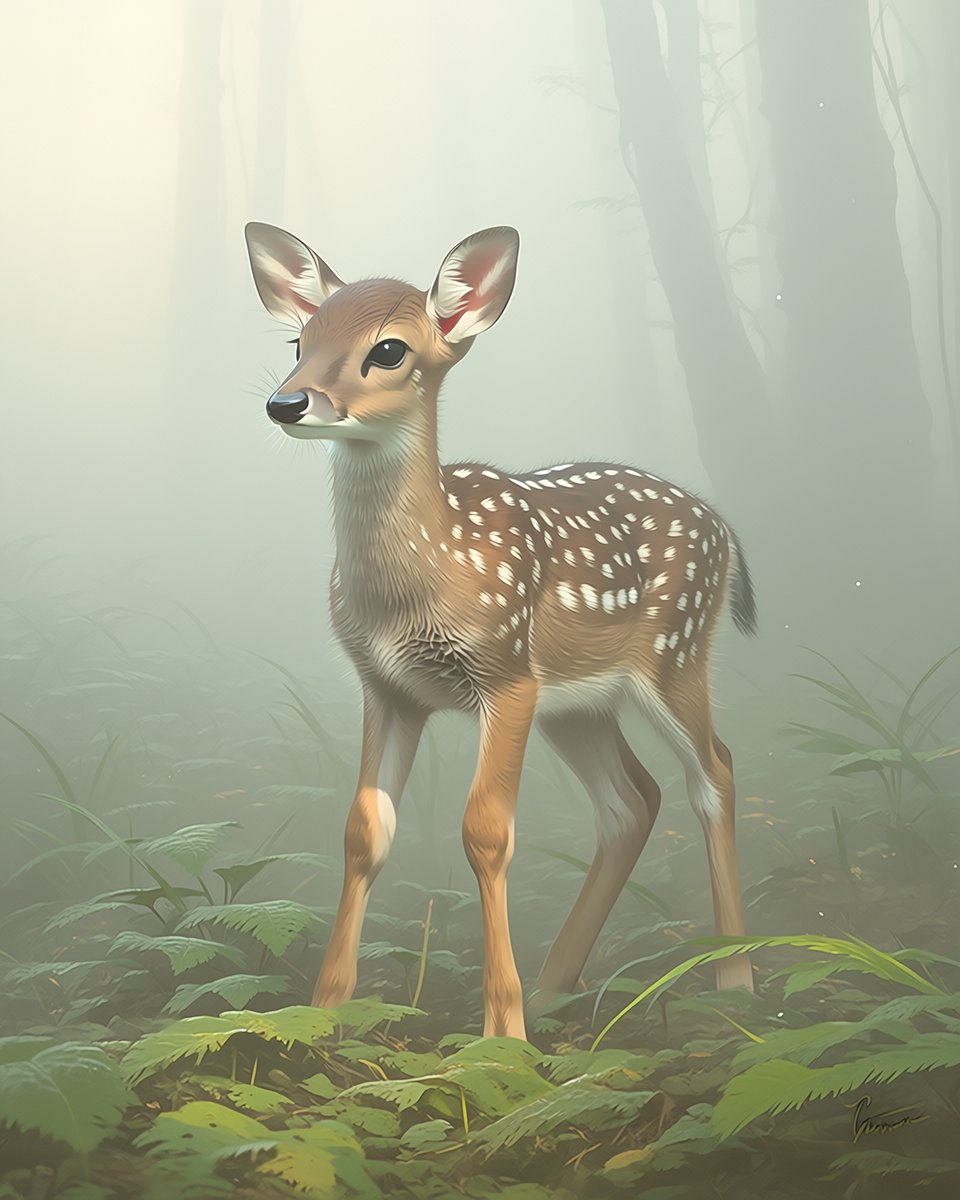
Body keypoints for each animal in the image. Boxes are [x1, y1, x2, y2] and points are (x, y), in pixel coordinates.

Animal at [244, 222, 758, 1040]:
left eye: (389, 350)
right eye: (299, 338)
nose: (287, 401)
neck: (417, 586)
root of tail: (724, 527)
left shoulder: (504, 674)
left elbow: (486, 832)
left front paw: (500, 1036)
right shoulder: (386, 686)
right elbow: (363, 832)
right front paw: (324, 1014)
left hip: (672, 655)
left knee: (715, 769)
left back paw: (735, 979)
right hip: (575, 702)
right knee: (632, 799)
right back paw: (555, 986)